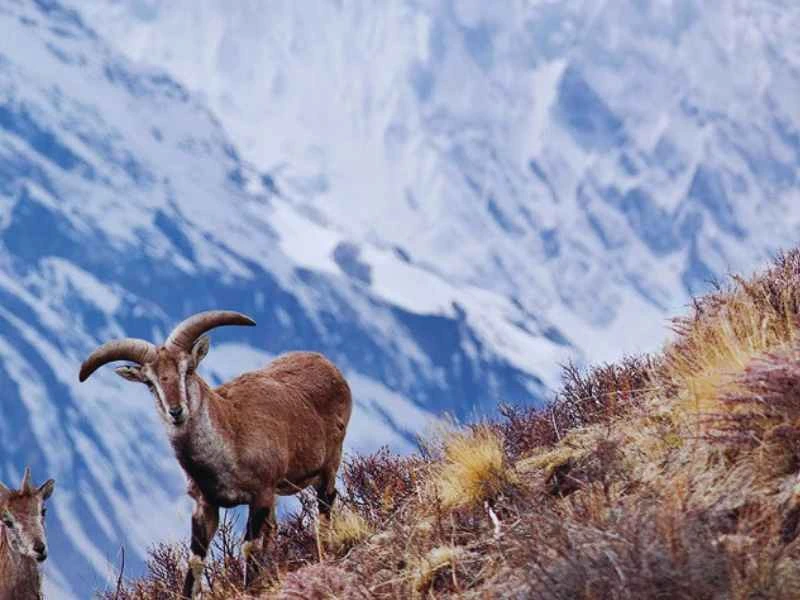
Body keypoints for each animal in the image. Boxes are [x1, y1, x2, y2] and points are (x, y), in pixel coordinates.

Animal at [79, 312, 352, 596]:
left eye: (188, 370)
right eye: (150, 383)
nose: (176, 411)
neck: (231, 439)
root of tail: (327, 365)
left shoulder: (261, 493)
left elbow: (249, 545)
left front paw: (250, 587)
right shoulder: (205, 504)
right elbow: (196, 559)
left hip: (329, 462)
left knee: (325, 503)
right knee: (274, 529)